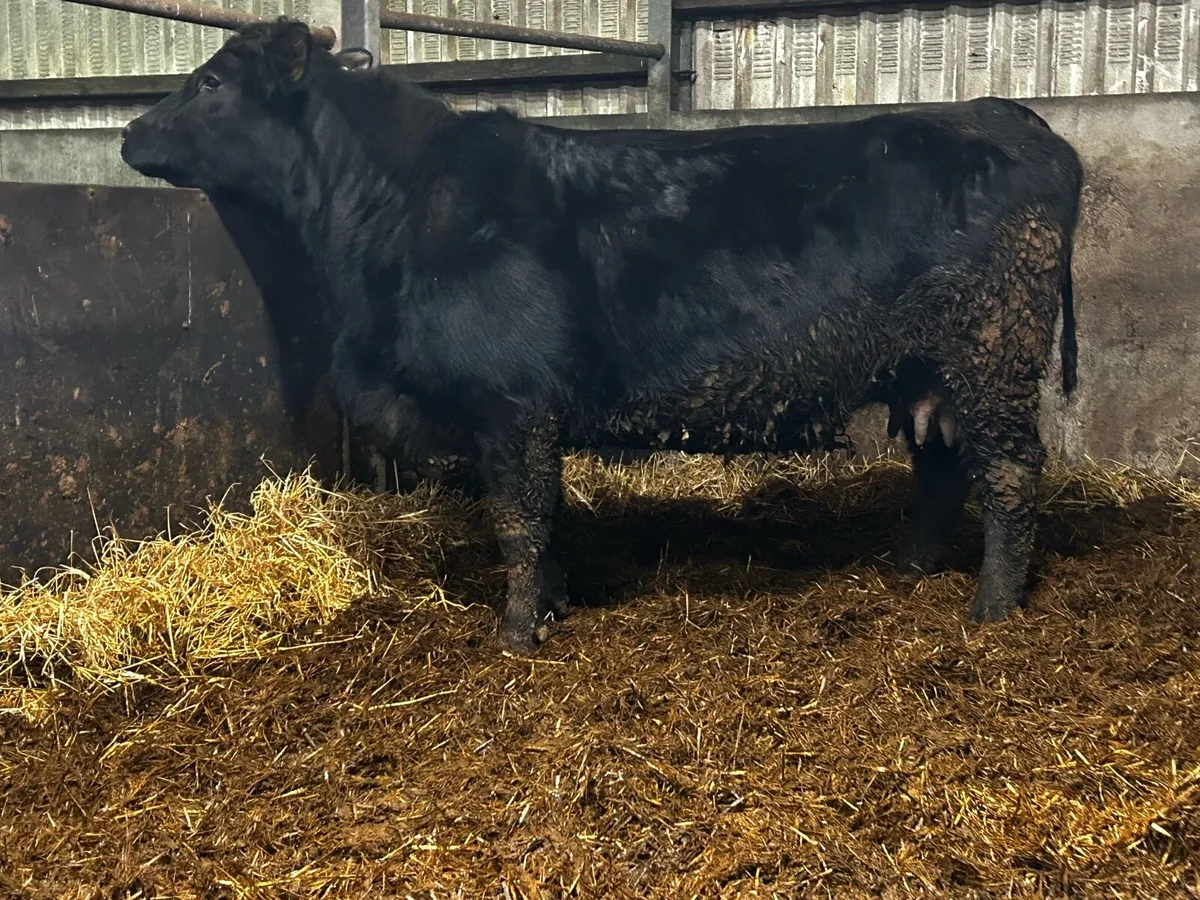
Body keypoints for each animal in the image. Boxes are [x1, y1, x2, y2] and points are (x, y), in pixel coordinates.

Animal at [120, 18, 1084, 653]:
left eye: (211, 82)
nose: (130, 132)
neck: (389, 207)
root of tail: (998, 113)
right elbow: (540, 522)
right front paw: (550, 603)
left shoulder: (510, 404)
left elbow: (519, 518)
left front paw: (517, 632)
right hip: (932, 367)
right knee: (942, 466)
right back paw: (909, 570)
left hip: (991, 351)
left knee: (1008, 471)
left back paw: (992, 607)